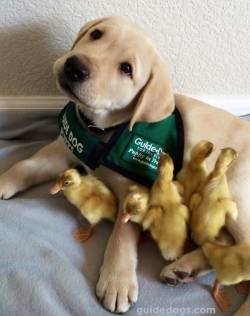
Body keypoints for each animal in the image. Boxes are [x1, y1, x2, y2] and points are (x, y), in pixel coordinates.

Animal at [0, 16, 250, 314]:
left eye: (126, 69)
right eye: (96, 34)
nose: (75, 67)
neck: (102, 130)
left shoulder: (137, 191)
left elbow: (123, 232)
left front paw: (116, 280)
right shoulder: (61, 150)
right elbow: (25, 165)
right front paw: (3, 181)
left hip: (237, 192)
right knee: (226, 245)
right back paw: (183, 270)